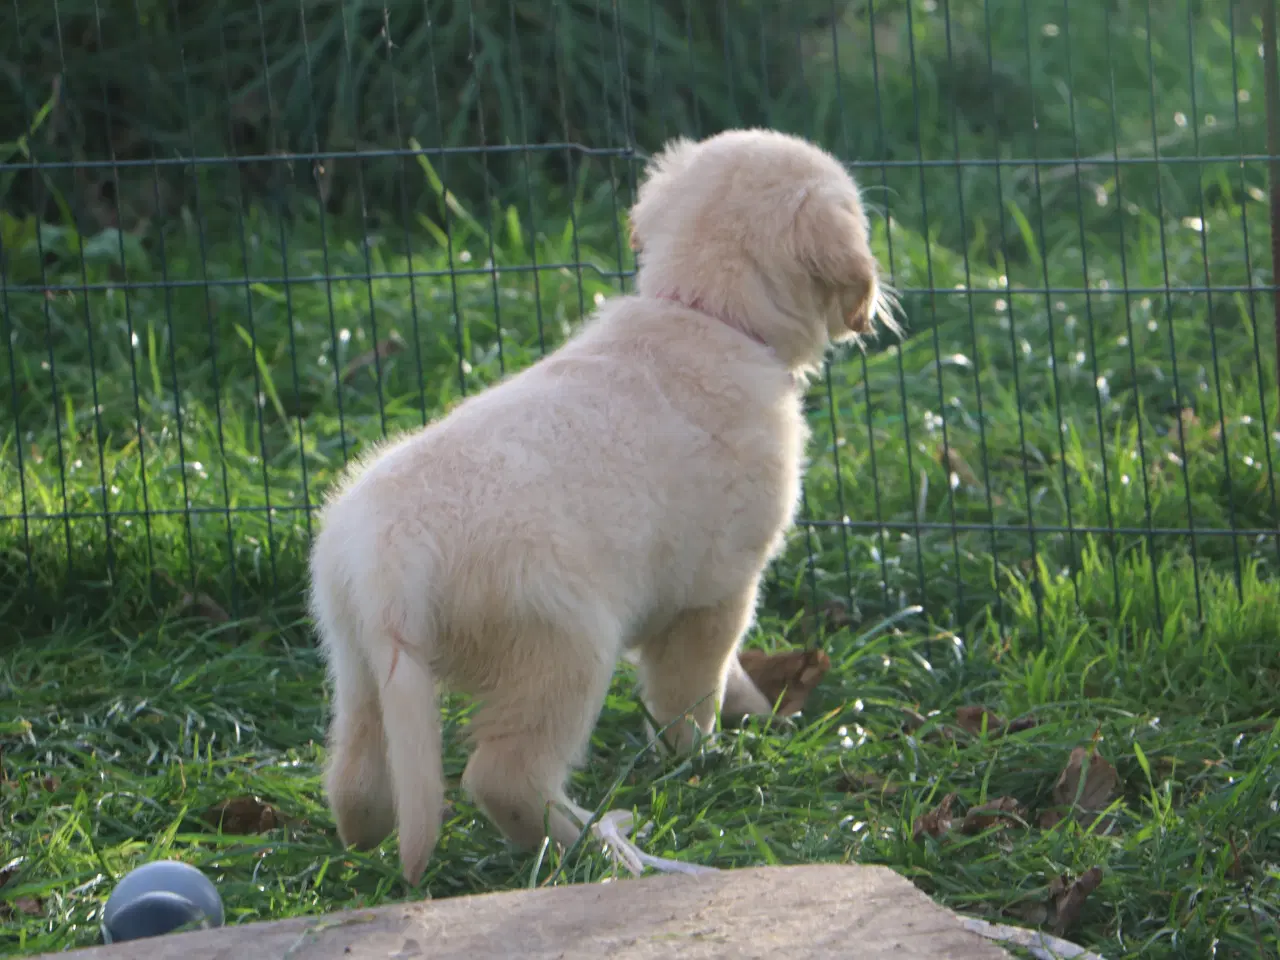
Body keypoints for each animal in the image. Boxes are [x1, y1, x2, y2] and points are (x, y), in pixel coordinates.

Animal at [307, 128, 901, 885]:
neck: (702, 309)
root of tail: (390, 559)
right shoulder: (717, 590)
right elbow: (693, 688)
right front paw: (702, 758)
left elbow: (729, 671)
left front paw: (758, 711)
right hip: (564, 647)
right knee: (503, 775)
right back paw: (597, 846)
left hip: (356, 659)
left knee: (355, 772)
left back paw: (372, 831)